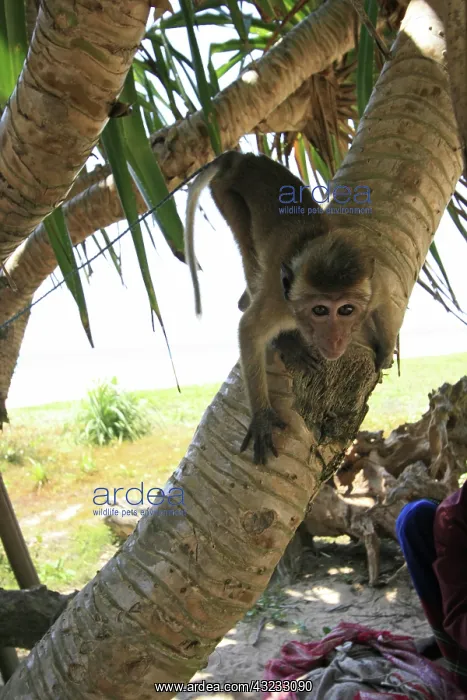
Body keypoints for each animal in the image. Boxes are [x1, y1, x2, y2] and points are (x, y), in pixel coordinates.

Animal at [184, 152, 397, 465]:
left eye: (346, 310)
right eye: (320, 310)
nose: (335, 340)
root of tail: (241, 157)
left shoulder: (373, 285)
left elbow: (385, 300)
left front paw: (386, 349)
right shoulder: (280, 302)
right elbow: (249, 330)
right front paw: (262, 416)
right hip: (226, 194)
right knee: (249, 248)